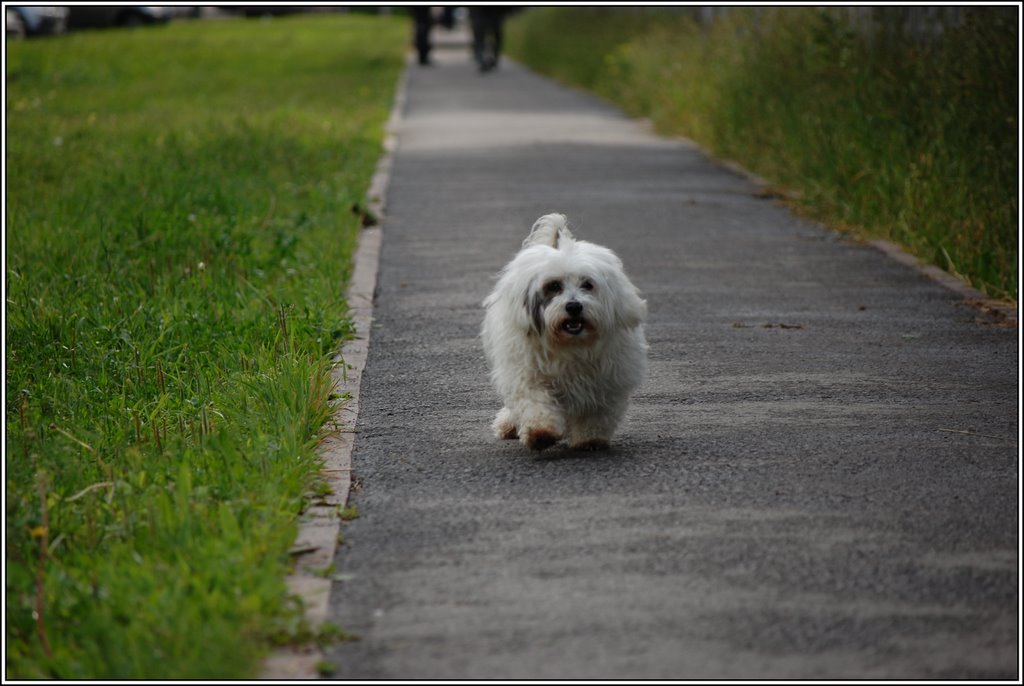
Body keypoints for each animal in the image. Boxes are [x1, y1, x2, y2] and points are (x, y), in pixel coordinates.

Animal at [481, 213, 647, 450]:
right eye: (554, 286)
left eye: (587, 284)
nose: (574, 306)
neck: (570, 345)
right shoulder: (528, 375)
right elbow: (534, 402)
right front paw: (540, 432)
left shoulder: (605, 382)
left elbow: (596, 413)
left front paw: (590, 439)